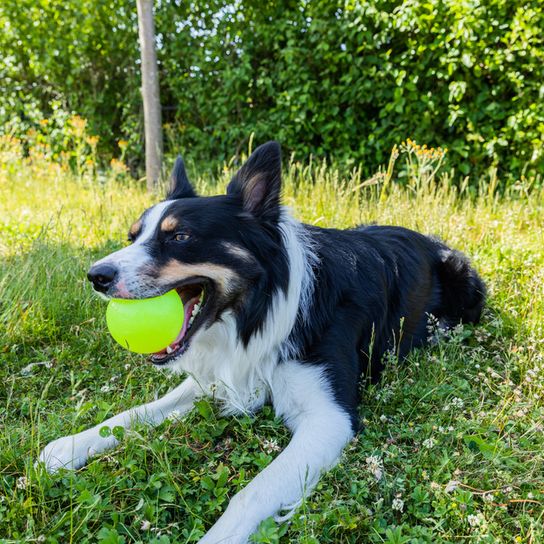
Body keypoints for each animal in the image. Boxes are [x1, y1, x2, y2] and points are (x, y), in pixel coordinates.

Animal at [40, 141, 486, 544]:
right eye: (132, 236)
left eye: (180, 236)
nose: (96, 276)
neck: (258, 309)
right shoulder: (222, 375)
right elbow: (136, 412)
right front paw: (69, 447)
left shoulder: (329, 418)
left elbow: (250, 495)